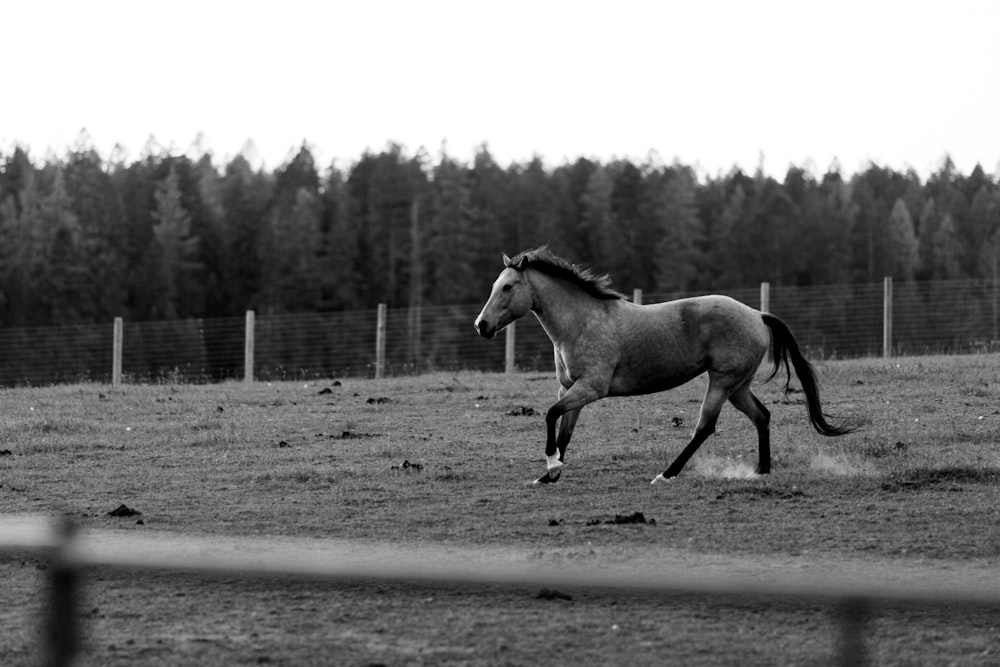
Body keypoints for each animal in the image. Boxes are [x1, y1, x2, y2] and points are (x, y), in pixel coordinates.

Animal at [472, 248, 856, 488]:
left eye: (508, 286)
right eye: (494, 286)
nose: (481, 325)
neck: (581, 323)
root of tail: (757, 314)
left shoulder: (591, 388)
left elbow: (550, 415)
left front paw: (552, 466)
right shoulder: (570, 389)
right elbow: (563, 430)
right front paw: (550, 474)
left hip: (721, 382)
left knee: (704, 427)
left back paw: (666, 475)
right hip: (738, 386)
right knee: (761, 416)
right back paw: (760, 471)